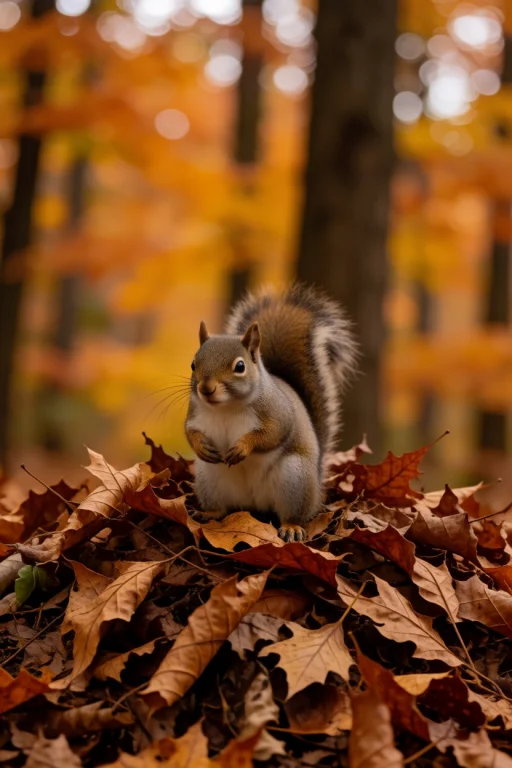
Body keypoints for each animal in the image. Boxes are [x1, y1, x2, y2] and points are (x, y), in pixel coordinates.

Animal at [185, 284, 357, 542]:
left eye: (240, 366)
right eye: (193, 364)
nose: (206, 389)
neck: (226, 407)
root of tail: (255, 503)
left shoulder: (278, 412)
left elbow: (272, 434)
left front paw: (243, 446)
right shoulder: (195, 413)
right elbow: (190, 432)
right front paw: (200, 445)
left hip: (295, 479)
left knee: (292, 513)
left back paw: (291, 527)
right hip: (209, 478)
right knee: (221, 507)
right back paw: (209, 513)